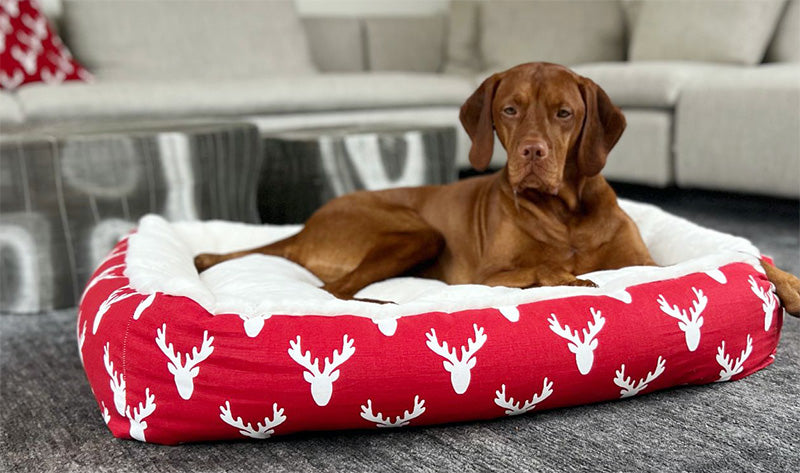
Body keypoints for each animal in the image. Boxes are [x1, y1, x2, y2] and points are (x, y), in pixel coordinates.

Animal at [194, 61, 800, 314]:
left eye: (563, 112)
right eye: (509, 109)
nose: (531, 153)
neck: (566, 212)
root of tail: (303, 227)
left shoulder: (645, 264)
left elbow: (741, 255)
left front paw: (787, 284)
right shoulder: (488, 274)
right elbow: (542, 267)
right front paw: (568, 279)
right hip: (413, 232)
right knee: (332, 291)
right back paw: (383, 301)